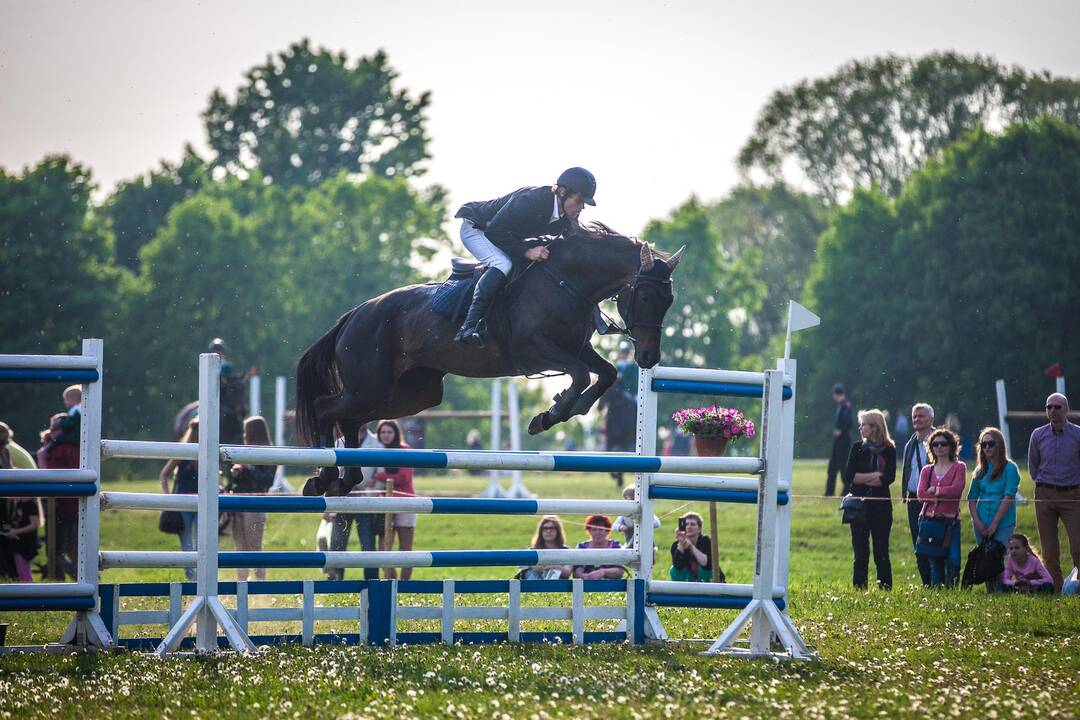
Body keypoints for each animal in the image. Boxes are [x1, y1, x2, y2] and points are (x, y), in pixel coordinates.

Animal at [295, 222, 682, 498]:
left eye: (669, 299)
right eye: (644, 296)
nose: (649, 356)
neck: (566, 281)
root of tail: (353, 316)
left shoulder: (577, 348)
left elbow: (605, 374)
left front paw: (564, 410)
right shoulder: (534, 349)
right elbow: (580, 375)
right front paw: (548, 415)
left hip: (408, 395)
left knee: (349, 420)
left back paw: (346, 479)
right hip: (371, 387)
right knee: (326, 408)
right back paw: (324, 477)